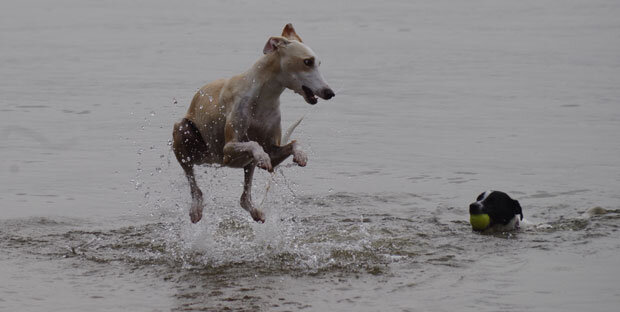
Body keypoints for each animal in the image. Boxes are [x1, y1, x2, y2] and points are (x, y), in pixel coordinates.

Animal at [172, 23, 334, 224]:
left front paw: (301, 155)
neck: (263, 95)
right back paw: (196, 209)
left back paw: (255, 210)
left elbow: (291, 144)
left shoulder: (273, 151)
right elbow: (254, 145)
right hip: (185, 133)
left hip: (239, 163)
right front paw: (262, 156)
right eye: (307, 62)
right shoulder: (228, 151)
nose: (330, 93)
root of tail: (211, 161)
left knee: (244, 198)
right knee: (193, 181)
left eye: (318, 63)